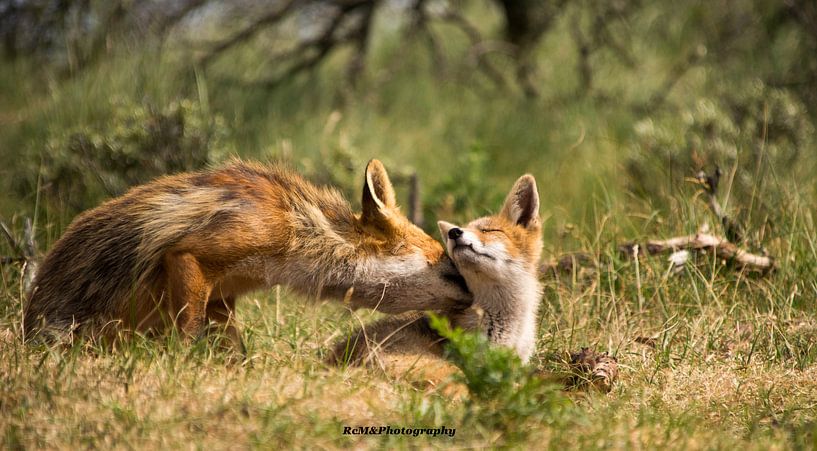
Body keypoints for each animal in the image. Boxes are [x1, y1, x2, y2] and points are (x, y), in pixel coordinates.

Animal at [23, 159, 471, 347]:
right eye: (450, 268)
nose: (476, 296)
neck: (296, 228)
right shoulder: (190, 258)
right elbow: (187, 339)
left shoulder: (222, 297)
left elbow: (236, 353)